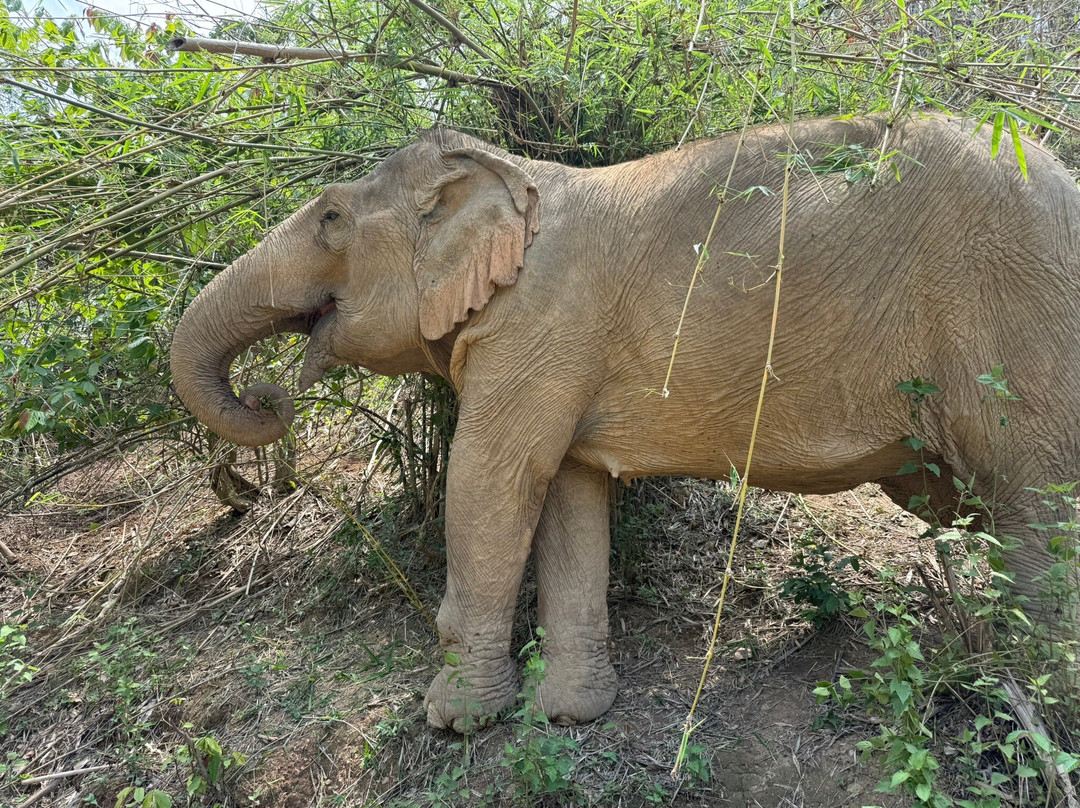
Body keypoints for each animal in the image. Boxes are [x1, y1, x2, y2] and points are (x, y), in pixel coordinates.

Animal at [171, 112, 1080, 732]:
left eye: (330, 219)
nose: (270, 396)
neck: (512, 174)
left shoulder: (542, 324)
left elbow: (491, 478)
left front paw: (456, 721)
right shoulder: (555, 351)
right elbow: (567, 494)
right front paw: (567, 716)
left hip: (1023, 318)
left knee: (1038, 508)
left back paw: (1036, 703)